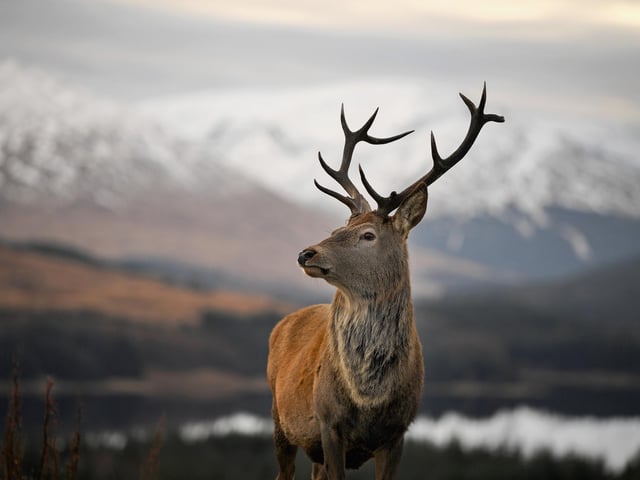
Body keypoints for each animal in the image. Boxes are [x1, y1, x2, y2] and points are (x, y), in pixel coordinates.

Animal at [267, 84, 504, 480]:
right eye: (337, 228)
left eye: (367, 235)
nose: (306, 254)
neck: (369, 400)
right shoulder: (329, 425)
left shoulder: (398, 432)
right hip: (278, 418)